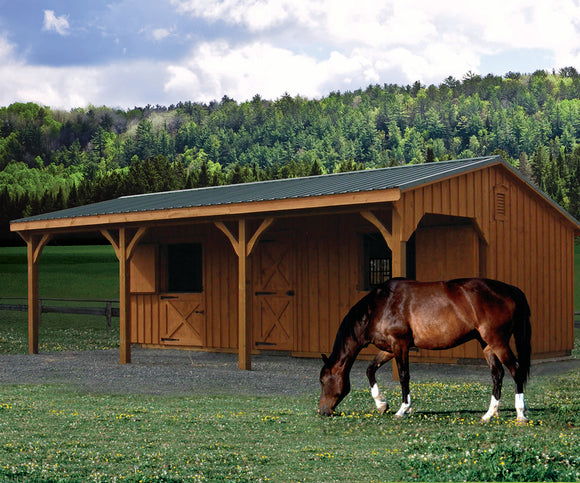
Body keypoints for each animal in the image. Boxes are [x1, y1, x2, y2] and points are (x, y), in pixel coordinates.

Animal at [320, 280, 532, 424]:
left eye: (322, 381)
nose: (322, 411)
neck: (381, 305)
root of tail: (511, 290)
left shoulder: (399, 344)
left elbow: (404, 376)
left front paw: (402, 409)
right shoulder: (390, 348)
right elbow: (370, 370)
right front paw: (382, 404)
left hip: (498, 342)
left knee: (516, 370)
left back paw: (520, 414)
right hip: (487, 344)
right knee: (498, 374)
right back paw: (489, 414)